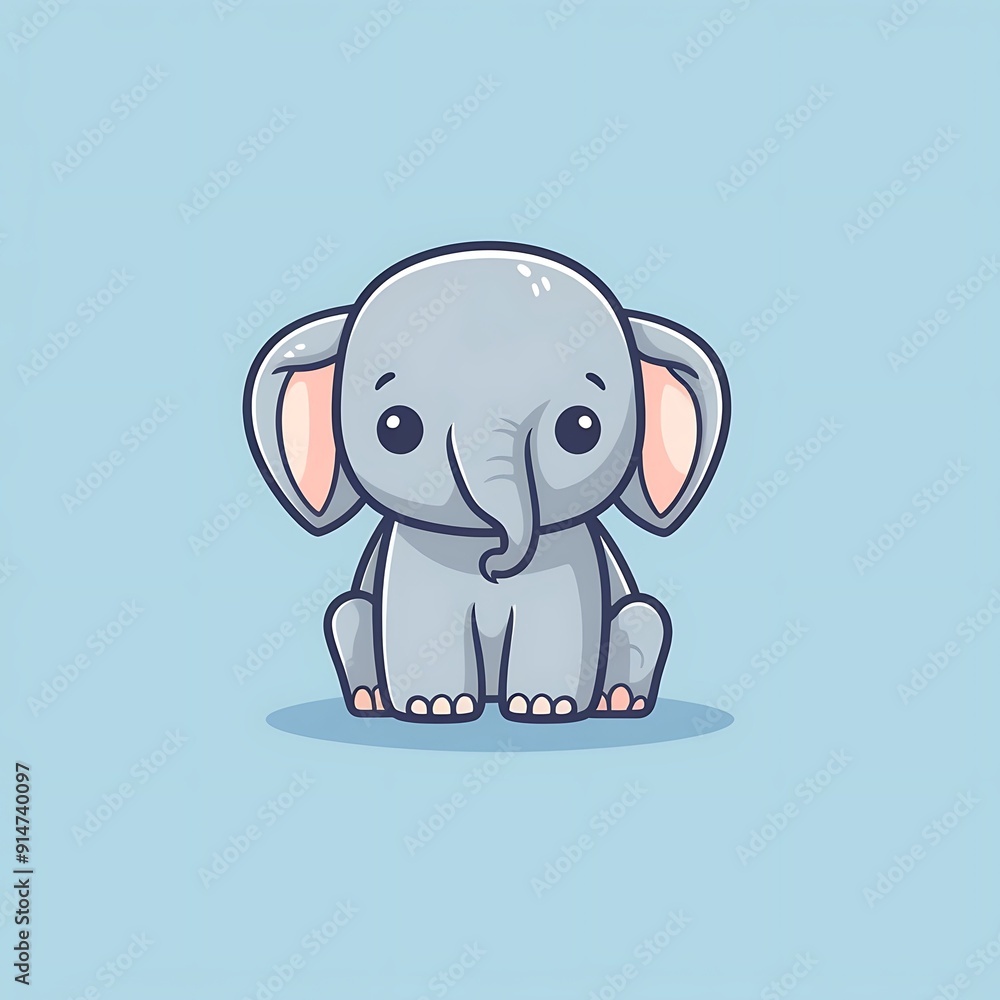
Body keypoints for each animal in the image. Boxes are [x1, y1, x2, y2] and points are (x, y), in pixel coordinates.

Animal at [244, 242, 730, 724]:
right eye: (396, 429)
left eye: (581, 429)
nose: (495, 563)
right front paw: (434, 708)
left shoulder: (572, 566)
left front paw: (543, 707)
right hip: (352, 615)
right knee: (347, 613)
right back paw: (371, 701)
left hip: (637, 620)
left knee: (647, 617)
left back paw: (619, 702)